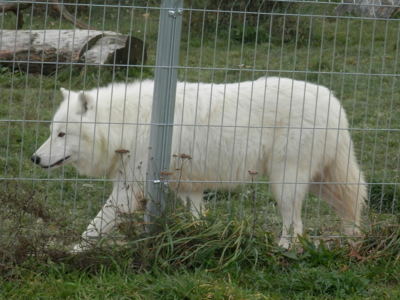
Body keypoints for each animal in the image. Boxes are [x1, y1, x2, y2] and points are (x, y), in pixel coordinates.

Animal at [32, 77, 366, 251]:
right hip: (320, 181)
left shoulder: (129, 189)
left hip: (285, 183)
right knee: (352, 203)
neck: (125, 122)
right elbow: (198, 221)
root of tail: (333, 101)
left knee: (295, 225)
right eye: (52, 131)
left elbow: (94, 226)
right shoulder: (187, 187)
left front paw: (72, 253)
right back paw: (353, 240)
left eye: (62, 134)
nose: (34, 158)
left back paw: (284, 249)